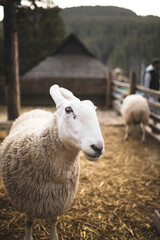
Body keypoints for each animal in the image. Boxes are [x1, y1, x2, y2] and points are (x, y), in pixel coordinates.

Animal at [0, 85, 104, 240]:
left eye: (94, 109)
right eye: (68, 110)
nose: (98, 147)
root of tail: (36, 109)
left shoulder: (56, 201)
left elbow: (53, 220)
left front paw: (53, 236)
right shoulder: (28, 201)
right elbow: (29, 222)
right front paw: (28, 236)